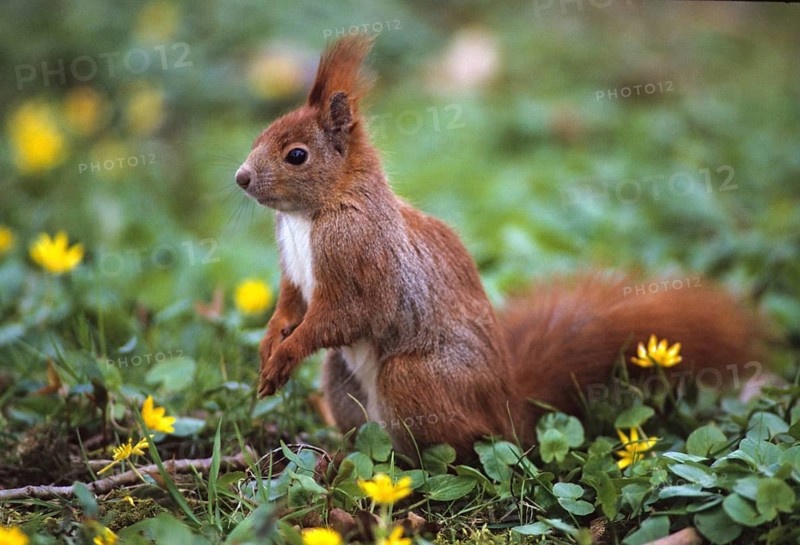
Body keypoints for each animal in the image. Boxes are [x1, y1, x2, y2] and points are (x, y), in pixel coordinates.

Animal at [235, 36, 763, 460]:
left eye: (297, 155)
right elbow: (291, 305)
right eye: (261, 133)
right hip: (342, 381)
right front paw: (269, 344)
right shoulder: (293, 271)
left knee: (460, 450)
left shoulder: (359, 256)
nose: (240, 178)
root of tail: (509, 409)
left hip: (414, 379)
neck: (309, 216)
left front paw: (284, 354)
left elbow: (341, 316)